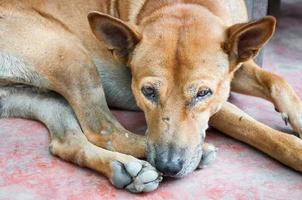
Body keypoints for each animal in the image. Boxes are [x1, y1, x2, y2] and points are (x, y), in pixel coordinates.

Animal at [0, 0, 302, 193]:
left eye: (203, 93)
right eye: (148, 91)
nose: (168, 166)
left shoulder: (236, 68)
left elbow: (277, 81)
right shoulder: (222, 102)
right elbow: (255, 129)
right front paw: (296, 151)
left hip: (42, 97)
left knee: (65, 142)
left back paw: (123, 168)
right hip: (71, 55)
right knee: (103, 129)